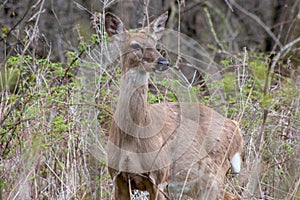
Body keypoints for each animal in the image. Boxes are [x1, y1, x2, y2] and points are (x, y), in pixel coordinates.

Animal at [105, 11, 244, 200]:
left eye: (155, 44)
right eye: (135, 45)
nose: (163, 62)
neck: (131, 139)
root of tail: (235, 127)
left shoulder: (159, 178)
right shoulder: (118, 178)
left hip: (215, 173)